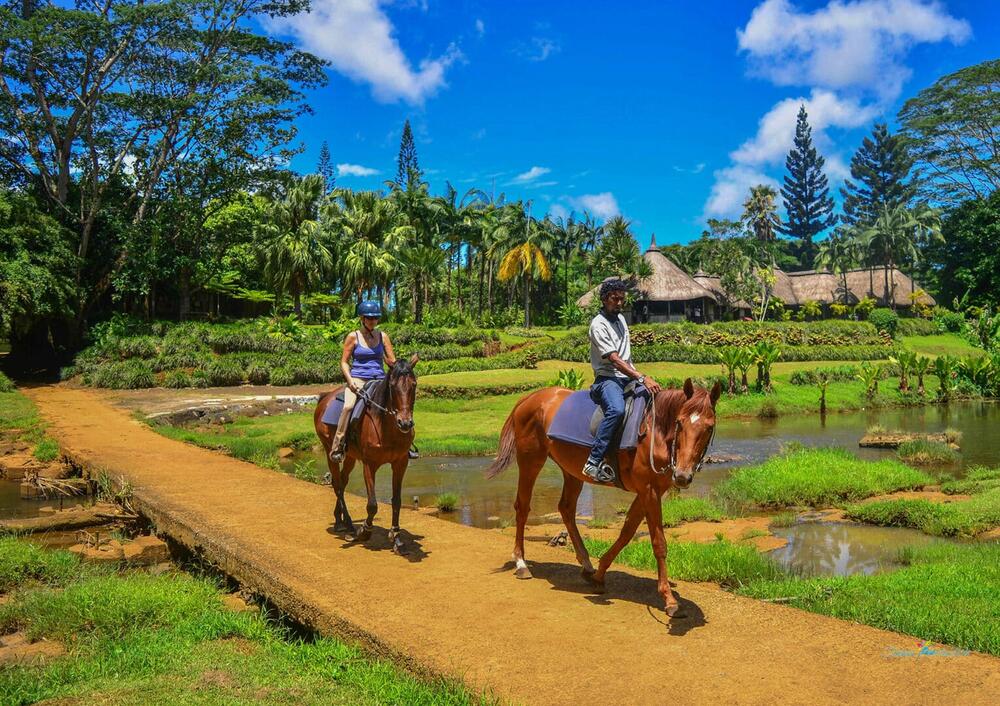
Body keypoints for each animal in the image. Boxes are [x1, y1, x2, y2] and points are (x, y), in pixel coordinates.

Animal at [314, 355, 419, 552]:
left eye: (414, 384)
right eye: (392, 385)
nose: (405, 423)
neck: (385, 425)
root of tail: (325, 397)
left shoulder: (400, 463)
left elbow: (397, 500)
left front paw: (396, 537)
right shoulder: (370, 464)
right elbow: (372, 504)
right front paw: (365, 531)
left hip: (350, 456)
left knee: (343, 482)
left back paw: (339, 520)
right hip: (329, 450)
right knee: (337, 484)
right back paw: (347, 523)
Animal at [485, 378, 721, 616]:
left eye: (709, 427)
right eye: (680, 422)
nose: (682, 476)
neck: (655, 432)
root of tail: (530, 398)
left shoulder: (650, 491)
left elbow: (627, 532)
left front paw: (599, 575)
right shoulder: (649, 490)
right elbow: (659, 543)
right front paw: (669, 599)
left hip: (571, 470)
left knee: (566, 508)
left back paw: (586, 564)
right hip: (530, 461)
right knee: (523, 507)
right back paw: (521, 563)